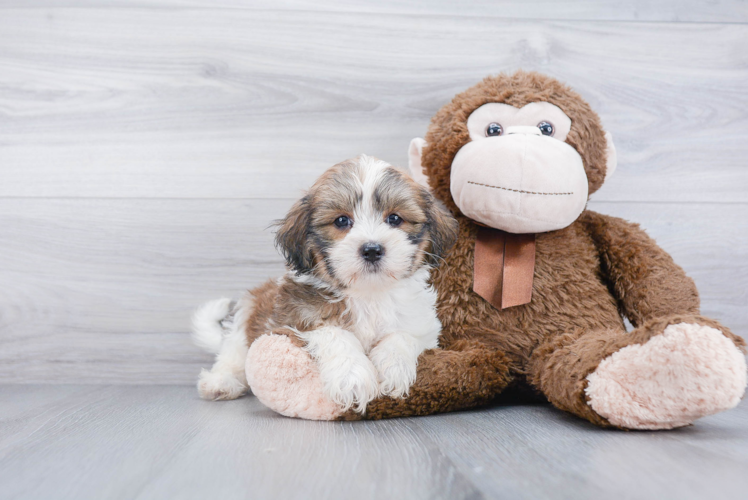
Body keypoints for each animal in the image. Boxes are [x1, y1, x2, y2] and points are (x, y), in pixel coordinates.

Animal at [193, 156, 458, 414]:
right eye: (341, 221)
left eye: (394, 218)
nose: (372, 249)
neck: (368, 294)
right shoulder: (292, 319)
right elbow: (335, 333)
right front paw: (352, 376)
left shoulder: (423, 327)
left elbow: (402, 336)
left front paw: (392, 367)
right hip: (246, 317)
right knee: (233, 355)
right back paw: (221, 382)